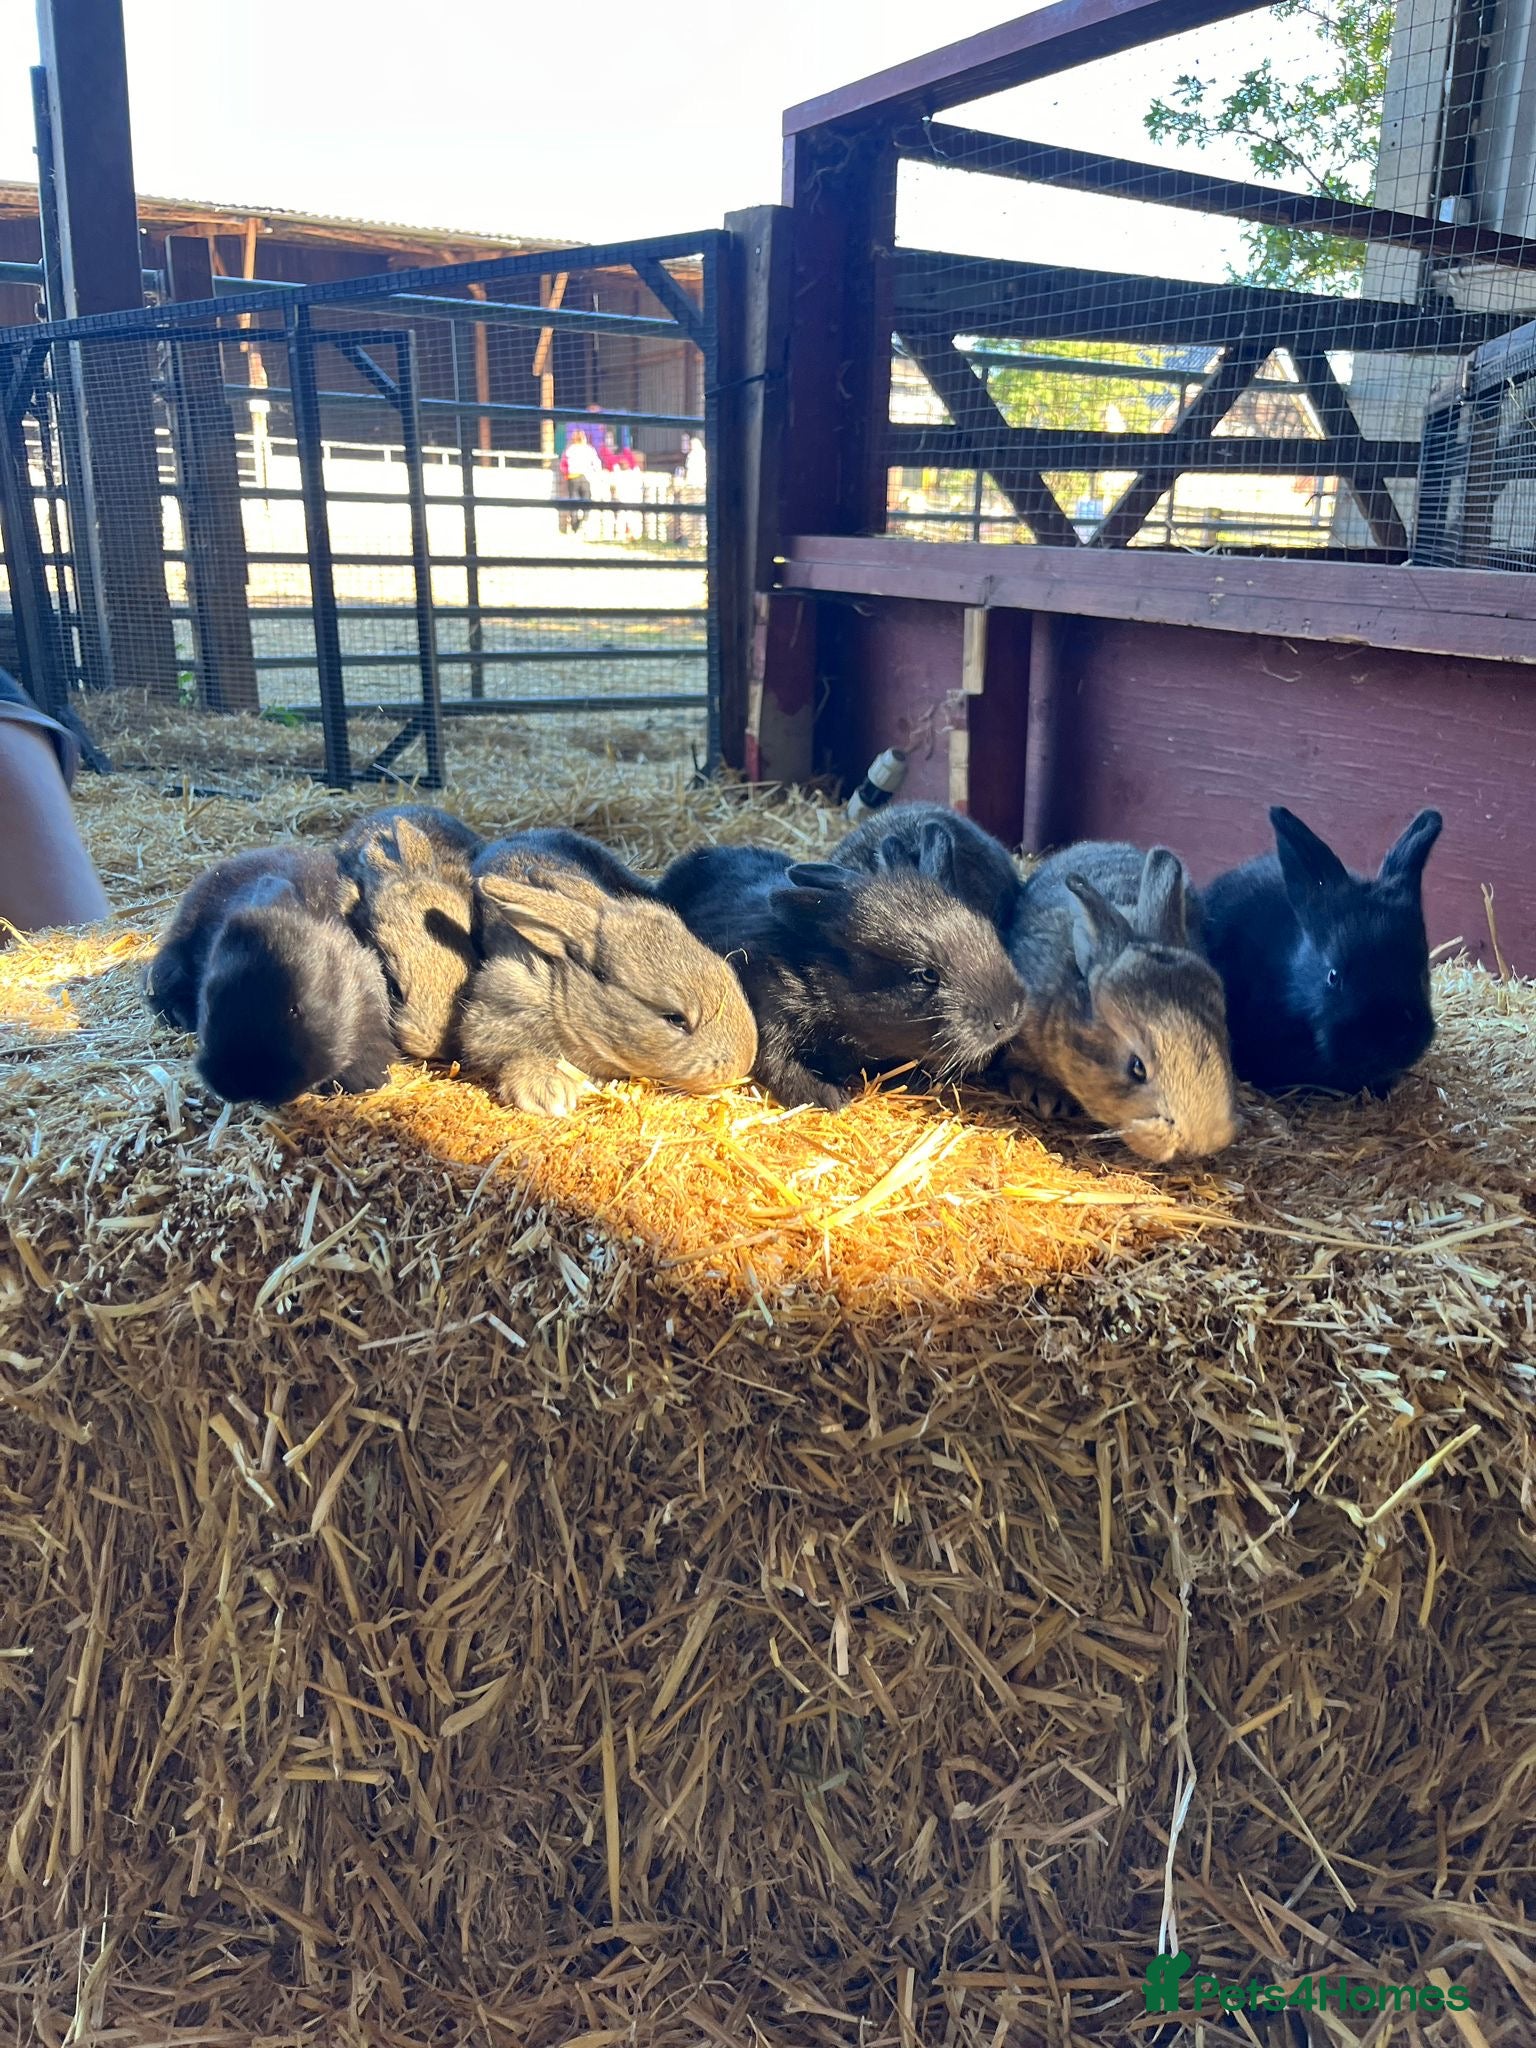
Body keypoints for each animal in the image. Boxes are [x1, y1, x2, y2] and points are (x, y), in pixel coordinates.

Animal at [657, 843, 1031, 1112]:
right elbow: (778, 1064)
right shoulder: (768, 1014)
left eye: (987, 930)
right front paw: (830, 1098)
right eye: (925, 975)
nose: (1010, 1015)